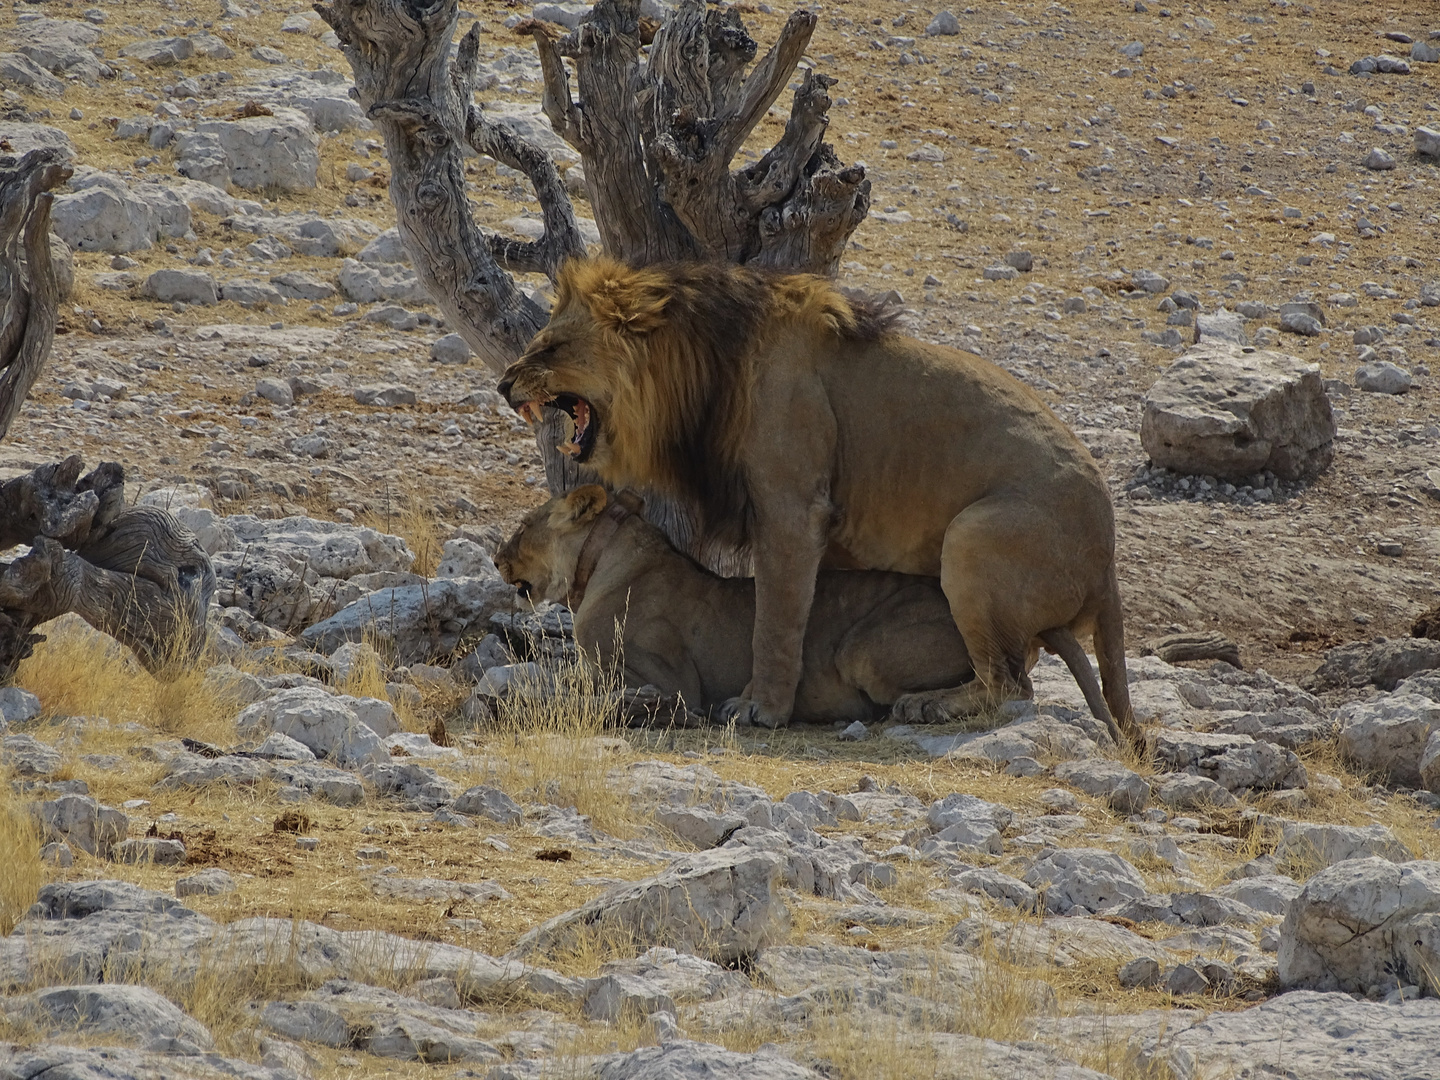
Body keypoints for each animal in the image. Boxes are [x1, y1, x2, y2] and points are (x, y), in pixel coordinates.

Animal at [495, 486, 979, 722]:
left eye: (522, 526)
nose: (496, 558)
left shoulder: (669, 678)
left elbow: (586, 692)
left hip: (861, 653)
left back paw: (923, 705)